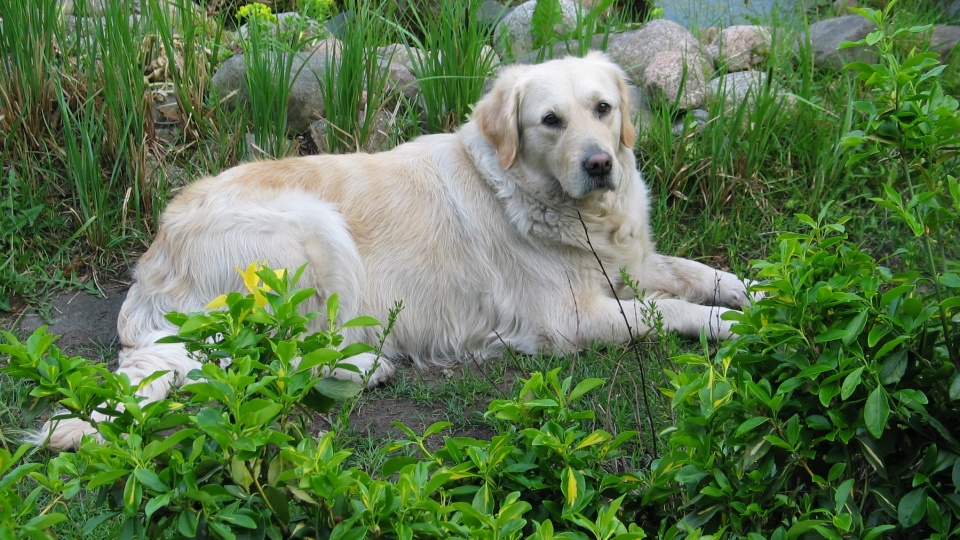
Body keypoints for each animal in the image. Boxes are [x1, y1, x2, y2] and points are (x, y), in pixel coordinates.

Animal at [37, 52, 752, 452]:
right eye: (550, 121)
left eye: (603, 108)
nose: (601, 164)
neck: (565, 209)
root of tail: (154, 262)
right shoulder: (567, 320)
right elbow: (669, 310)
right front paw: (729, 325)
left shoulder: (636, 263)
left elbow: (696, 272)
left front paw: (757, 292)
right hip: (313, 231)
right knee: (273, 362)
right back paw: (371, 364)